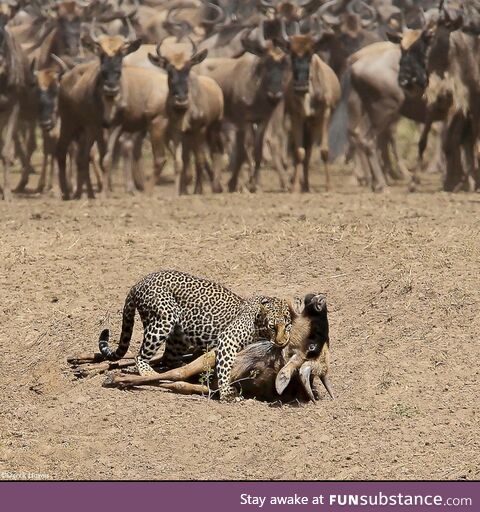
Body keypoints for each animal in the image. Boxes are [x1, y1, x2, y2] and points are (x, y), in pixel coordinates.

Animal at [99, 268, 290, 400]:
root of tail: (139, 282)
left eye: (287, 326)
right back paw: (149, 373)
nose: (283, 342)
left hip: (179, 338)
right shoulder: (228, 340)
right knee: (140, 356)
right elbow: (225, 368)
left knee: (169, 360)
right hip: (163, 319)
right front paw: (226, 392)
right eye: (273, 327)